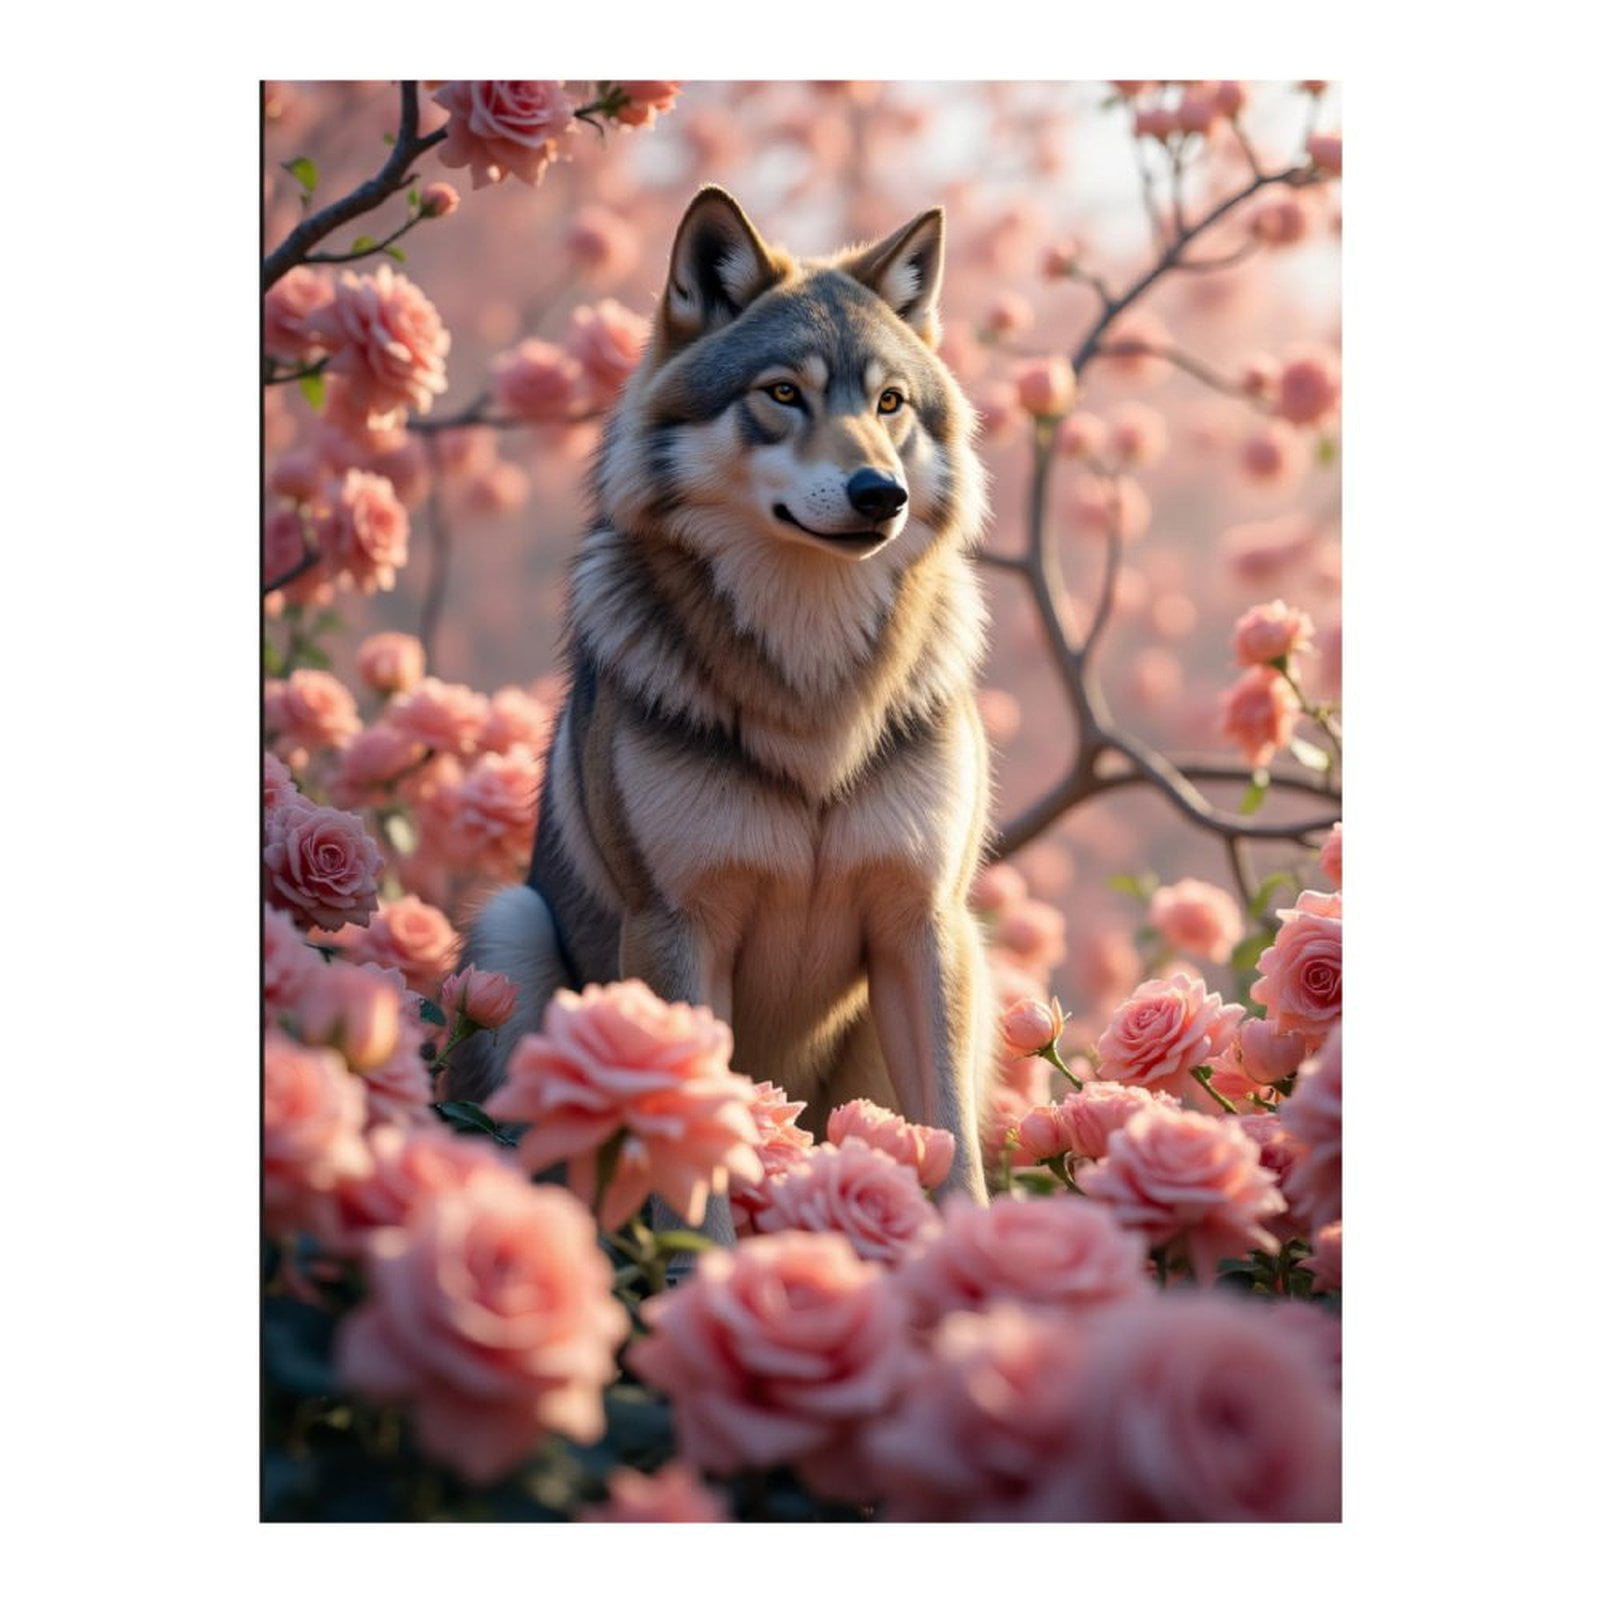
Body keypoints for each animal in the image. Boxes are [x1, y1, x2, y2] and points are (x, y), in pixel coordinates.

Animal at [446, 185, 995, 1219]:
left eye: (890, 403)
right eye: (782, 395)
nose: (882, 493)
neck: (812, 689)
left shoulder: (922, 927)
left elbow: (955, 1154)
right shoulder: (677, 930)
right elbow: (689, 1179)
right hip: (511, 930)